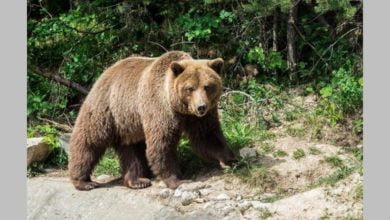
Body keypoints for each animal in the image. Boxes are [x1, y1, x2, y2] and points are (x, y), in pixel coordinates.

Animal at [68, 50, 236, 190]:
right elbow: (161, 144)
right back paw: (83, 181)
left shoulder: (199, 118)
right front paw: (177, 180)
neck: (179, 107)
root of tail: (106, 72)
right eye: (190, 88)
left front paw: (229, 159)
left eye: (207, 86)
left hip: (130, 124)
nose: (201, 107)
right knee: (89, 141)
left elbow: (207, 136)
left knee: (132, 150)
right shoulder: (159, 109)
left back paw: (137, 181)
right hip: (106, 110)